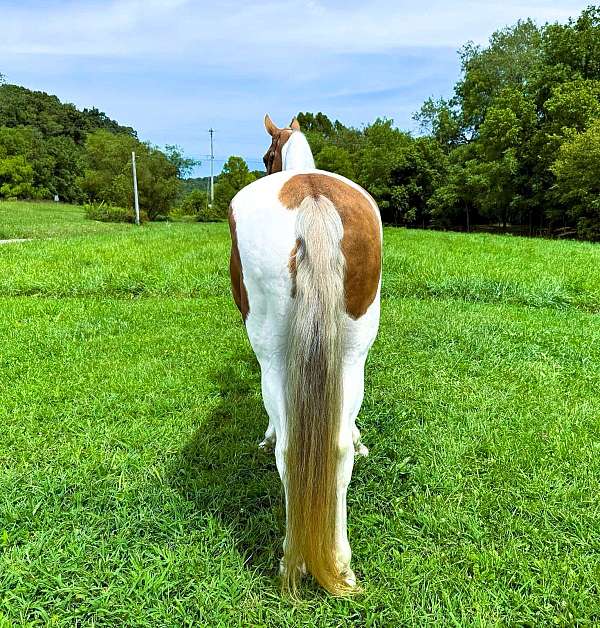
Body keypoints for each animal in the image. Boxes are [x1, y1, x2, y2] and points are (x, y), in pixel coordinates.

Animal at [227, 115, 382, 596]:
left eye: (265, 155)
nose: (264, 164)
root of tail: (312, 197)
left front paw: (266, 436)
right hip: (352, 351)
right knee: (337, 448)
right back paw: (342, 562)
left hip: (272, 353)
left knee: (289, 450)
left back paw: (289, 562)